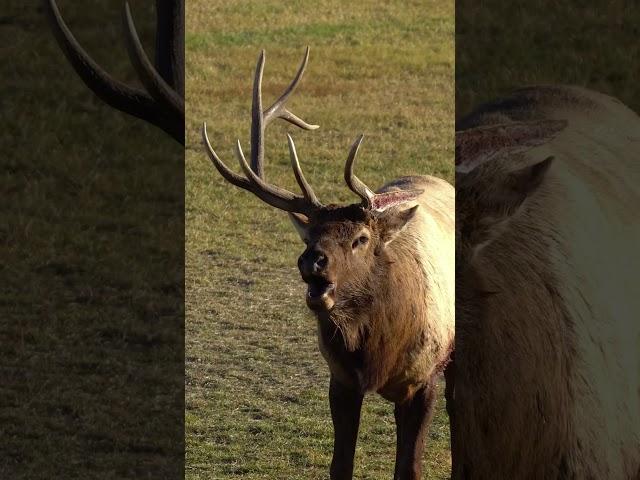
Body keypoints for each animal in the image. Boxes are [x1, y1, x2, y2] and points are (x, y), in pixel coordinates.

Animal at [201, 49, 456, 480]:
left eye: (361, 239)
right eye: (309, 235)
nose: (312, 260)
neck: (377, 345)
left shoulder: (423, 379)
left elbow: (409, 468)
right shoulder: (340, 380)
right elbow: (340, 467)